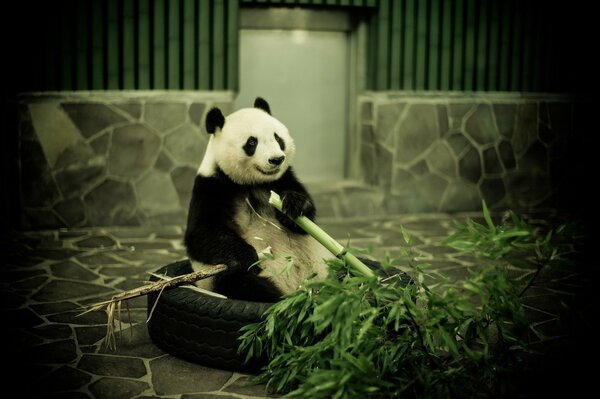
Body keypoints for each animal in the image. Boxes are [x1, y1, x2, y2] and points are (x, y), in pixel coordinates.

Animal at [183, 97, 332, 304]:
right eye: (252, 142)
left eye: (278, 138)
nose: (276, 159)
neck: (251, 184)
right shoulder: (210, 187)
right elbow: (201, 233)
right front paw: (248, 257)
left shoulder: (283, 179)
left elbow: (306, 223)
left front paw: (294, 205)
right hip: (216, 278)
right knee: (242, 284)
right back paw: (281, 298)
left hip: (325, 265)